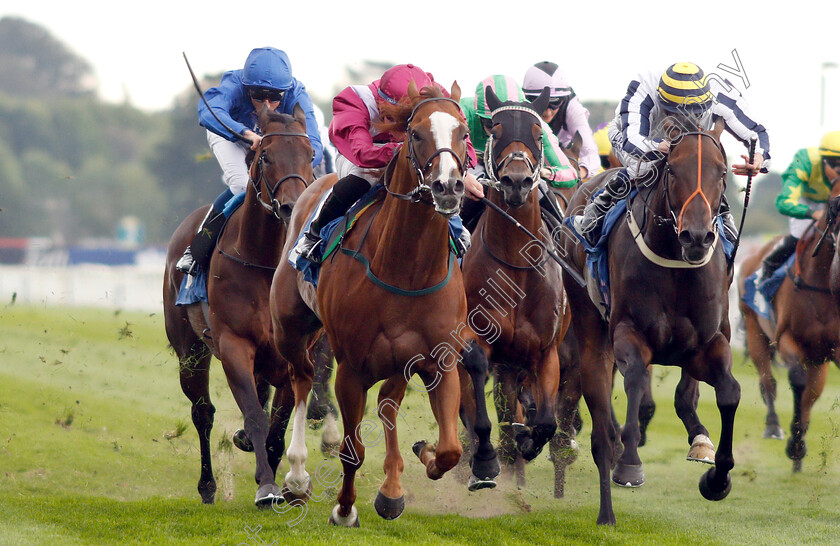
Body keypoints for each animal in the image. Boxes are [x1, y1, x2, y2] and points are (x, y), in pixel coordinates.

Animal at [162, 104, 336, 504]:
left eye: (310, 155)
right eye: (266, 155)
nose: (292, 207)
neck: (265, 263)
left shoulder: (294, 351)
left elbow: (278, 425)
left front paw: (286, 481)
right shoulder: (233, 344)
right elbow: (256, 416)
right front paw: (268, 486)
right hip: (190, 351)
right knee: (202, 413)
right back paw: (208, 485)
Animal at [270, 83, 496, 524]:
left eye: (464, 133)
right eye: (416, 134)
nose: (449, 187)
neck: (405, 270)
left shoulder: (438, 360)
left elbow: (449, 449)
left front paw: (422, 456)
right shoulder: (351, 369)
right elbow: (352, 450)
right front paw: (344, 510)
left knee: (388, 405)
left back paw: (391, 488)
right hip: (289, 328)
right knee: (301, 379)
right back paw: (298, 476)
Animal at [560, 120, 740, 524]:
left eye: (722, 173)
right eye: (672, 170)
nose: (697, 236)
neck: (675, 262)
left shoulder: (707, 344)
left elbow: (729, 393)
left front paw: (717, 480)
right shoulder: (629, 332)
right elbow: (637, 381)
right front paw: (629, 463)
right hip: (590, 330)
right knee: (600, 429)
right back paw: (606, 512)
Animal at [740, 160, 840, 468]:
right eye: (835, 204)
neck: (821, 285)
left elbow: (808, 395)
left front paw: (800, 445)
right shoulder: (786, 339)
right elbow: (795, 380)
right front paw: (795, 445)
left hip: (818, 360)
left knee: (811, 395)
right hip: (755, 332)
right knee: (769, 383)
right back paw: (775, 427)